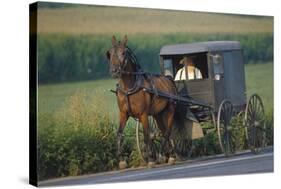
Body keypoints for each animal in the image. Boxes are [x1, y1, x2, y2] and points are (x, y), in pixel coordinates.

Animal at [106, 35, 176, 168]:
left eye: (123, 53)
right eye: (110, 53)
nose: (114, 71)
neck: (129, 89)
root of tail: (169, 79)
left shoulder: (143, 114)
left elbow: (146, 135)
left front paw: (151, 159)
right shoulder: (123, 114)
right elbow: (119, 134)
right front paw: (122, 160)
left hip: (170, 110)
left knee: (168, 131)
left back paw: (165, 154)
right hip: (158, 114)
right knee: (163, 130)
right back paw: (169, 154)